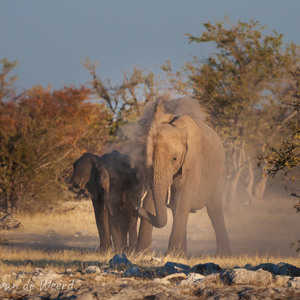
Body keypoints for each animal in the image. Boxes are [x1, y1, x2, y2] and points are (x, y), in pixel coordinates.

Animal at [136, 98, 232, 255]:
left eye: (174, 159)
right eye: (146, 156)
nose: (136, 209)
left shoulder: (192, 161)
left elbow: (181, 201)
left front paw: (172, 255)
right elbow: (150, 199)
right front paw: (140, 254)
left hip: (217, 173)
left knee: (214, 210)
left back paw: (223, 255)